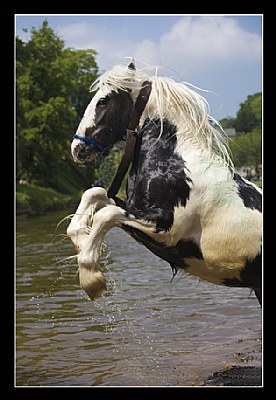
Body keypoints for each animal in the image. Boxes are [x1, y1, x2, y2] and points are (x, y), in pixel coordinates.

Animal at [66, 60, 262, 306]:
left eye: (103, 101)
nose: (77, 149)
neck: (175, 165)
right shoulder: (135, 212)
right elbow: (95, 194)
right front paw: (81, 239)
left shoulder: (165, 228)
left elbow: (105, 214)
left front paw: (91, 279)